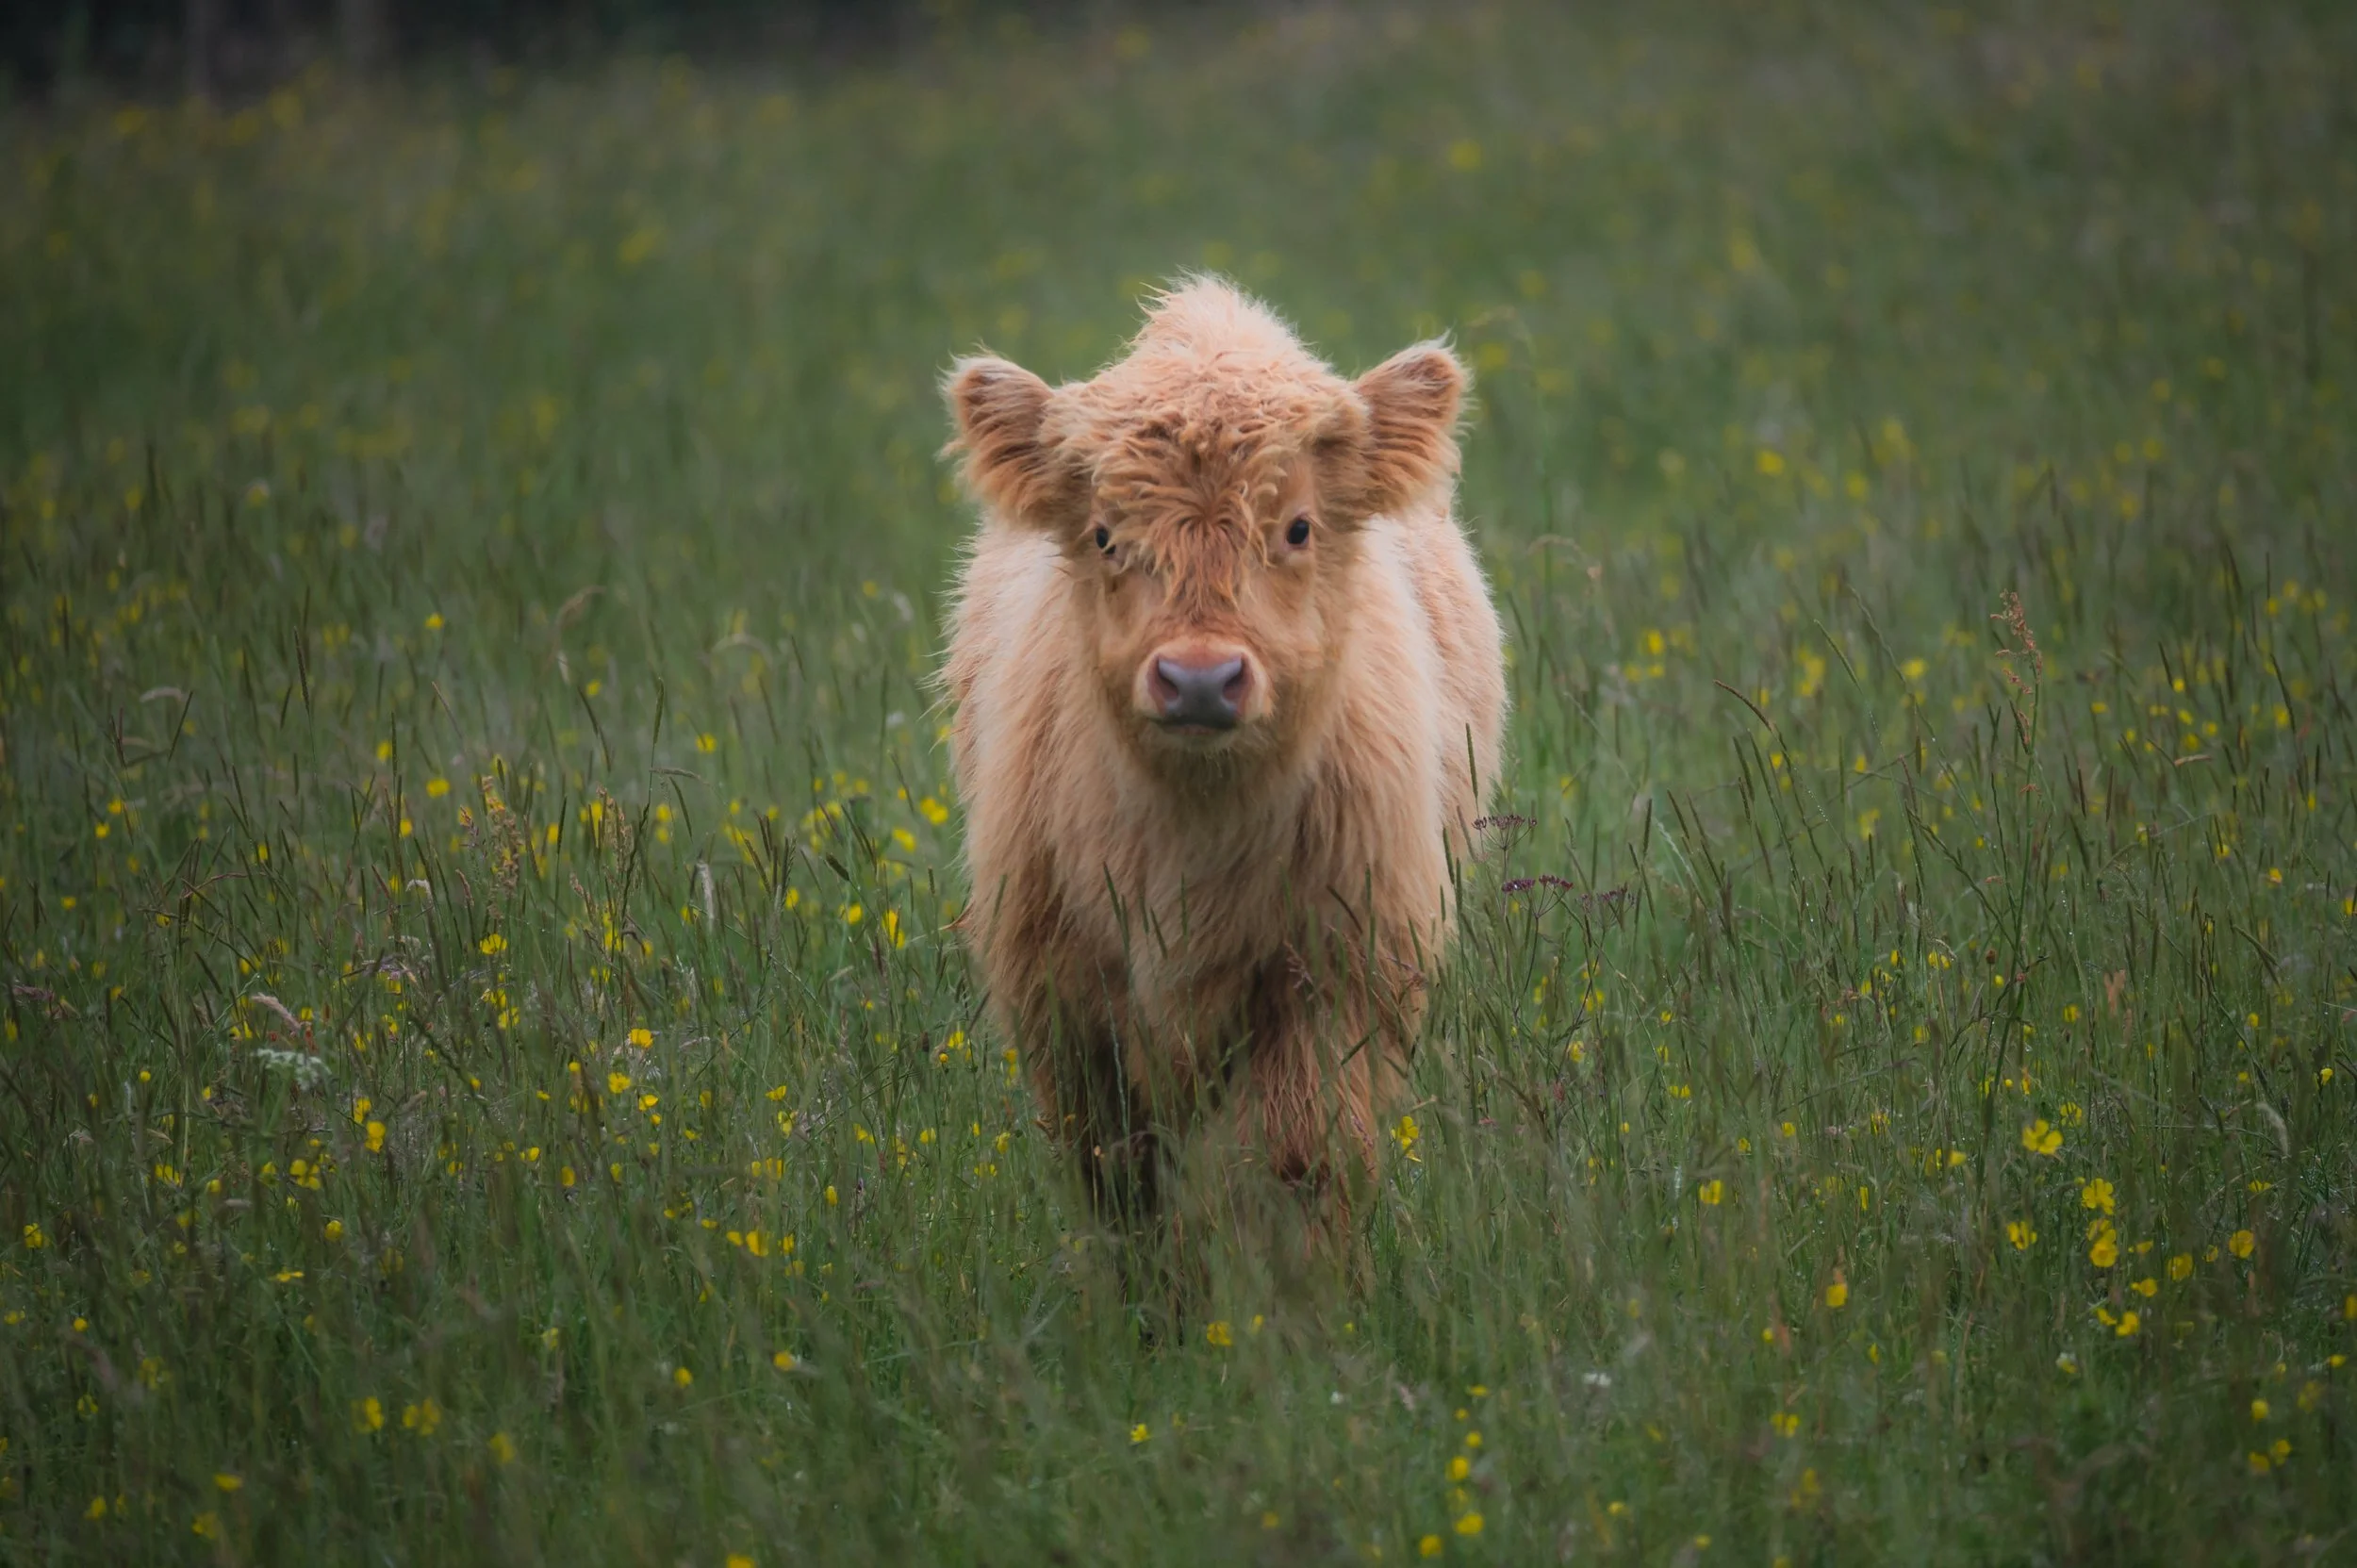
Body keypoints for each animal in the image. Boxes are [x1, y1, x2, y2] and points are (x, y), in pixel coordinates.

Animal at [939, 278, 1506, 1256]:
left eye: (1298, 527)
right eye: (1103, 534)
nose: (1199, 678)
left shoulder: (1333, 975)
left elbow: (1297, 1161)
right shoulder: (1067, 999)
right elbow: (1120, 1177)